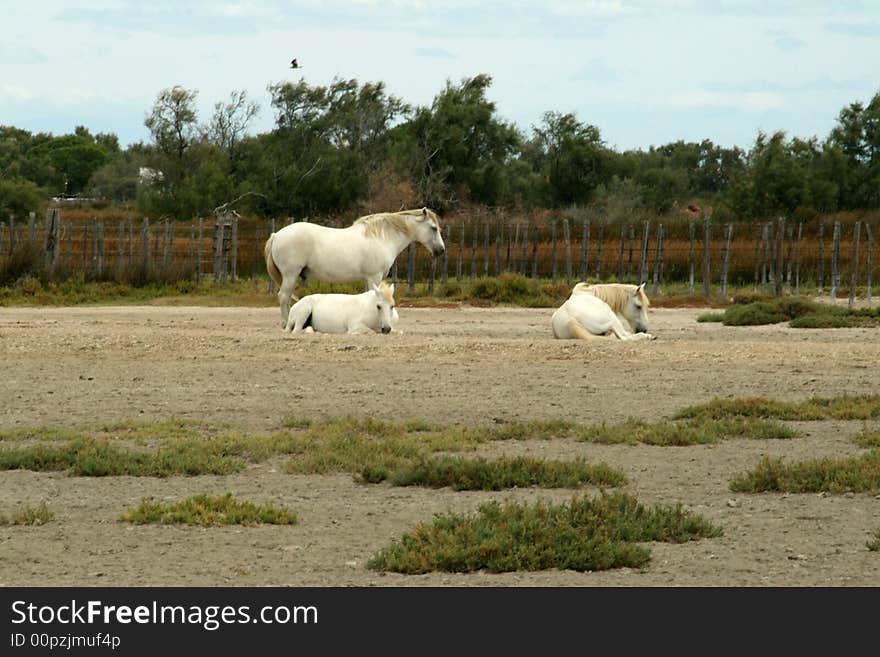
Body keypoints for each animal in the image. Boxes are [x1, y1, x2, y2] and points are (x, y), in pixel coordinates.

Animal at [260, 206, 440, 326]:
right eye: (433, 228)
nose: (441, 250)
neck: (381, 238)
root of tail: (276, 235)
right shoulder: (374, 277)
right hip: (290, 275)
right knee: (284, 297)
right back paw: (286, 323)